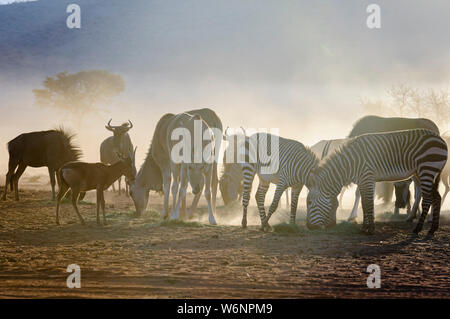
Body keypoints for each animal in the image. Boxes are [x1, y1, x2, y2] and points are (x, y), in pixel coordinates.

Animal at [306, 129, 446, 238]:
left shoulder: (367, 177)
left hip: (427, 169)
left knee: (427, 199)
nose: (309, 227)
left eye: (309, 202)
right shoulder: (365, 180)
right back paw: (432, 229)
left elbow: (368, 203)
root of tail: (441, 139)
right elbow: (365, 203)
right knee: (437, 197)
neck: (351, 164)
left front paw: (370, 229)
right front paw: (364, 227)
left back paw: (418, 229)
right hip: (423, 173)